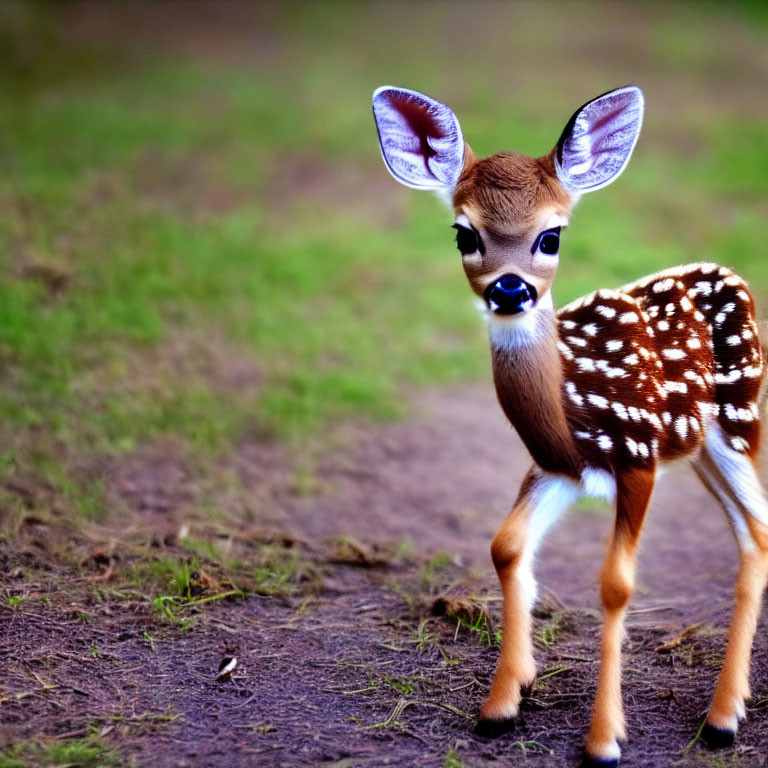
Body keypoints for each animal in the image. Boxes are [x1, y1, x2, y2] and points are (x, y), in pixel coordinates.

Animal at [370, 87, 760, 764]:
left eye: (551, 236)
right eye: (463, 233)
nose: (509, 289)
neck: (569, 409)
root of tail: (730, 273)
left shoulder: (637, 454)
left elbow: (616, 584)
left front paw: (603, 740)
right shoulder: (555, 467)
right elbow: (506, 546)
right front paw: (503, 703)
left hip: (739, 420)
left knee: (757, 530)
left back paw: (721, 721)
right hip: (701, 447)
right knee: (753, 533)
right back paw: (725, 712)